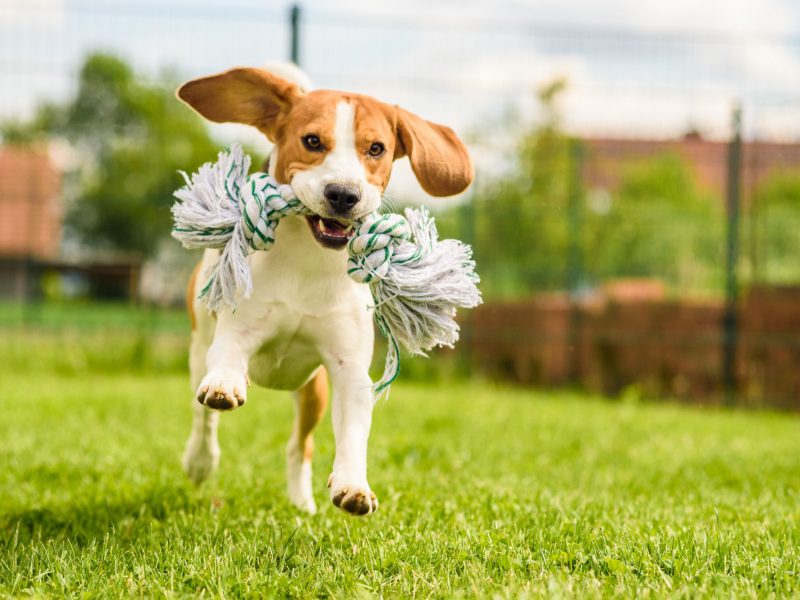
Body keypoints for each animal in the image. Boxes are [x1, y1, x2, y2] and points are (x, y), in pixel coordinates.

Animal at [178, 64, 472, 516]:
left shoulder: (349, 369)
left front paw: (353, 484)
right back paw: (199, 459)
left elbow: (352, 432)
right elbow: (225, 363)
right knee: (203, 418)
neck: (308, 263)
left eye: (376, 148)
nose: (343, 194)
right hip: (198, 349)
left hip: (312, 390)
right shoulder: (237, 333)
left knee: (300, 446)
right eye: (312, 141)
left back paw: (302, 503)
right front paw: (225, 386)